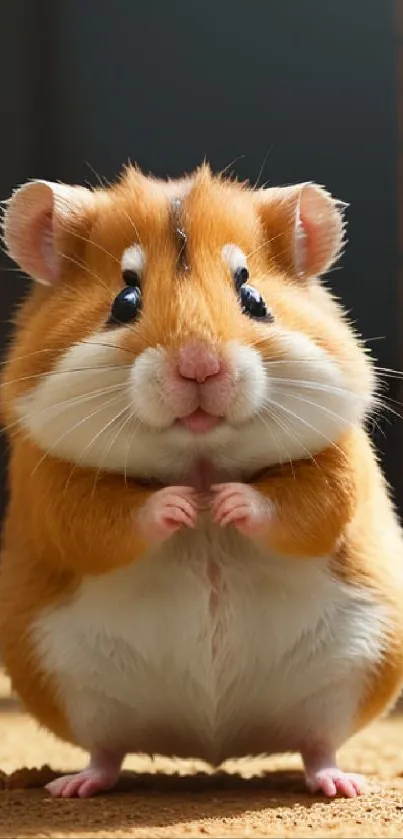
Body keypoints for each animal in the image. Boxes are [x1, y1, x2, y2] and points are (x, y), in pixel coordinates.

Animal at [0, 164, 403, 800]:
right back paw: (74, 786)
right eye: (125, 299)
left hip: (356, 669)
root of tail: (212, 744)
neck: (200, 453)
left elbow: (306, 509)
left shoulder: (338, 465)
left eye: (254, 298)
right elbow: (105, 522)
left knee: (319, 743)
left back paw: (342, 784)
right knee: (105, 750)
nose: (198, 365)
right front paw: (189, 507)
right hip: (71, 687)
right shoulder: (54, 488)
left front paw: (223, 505)